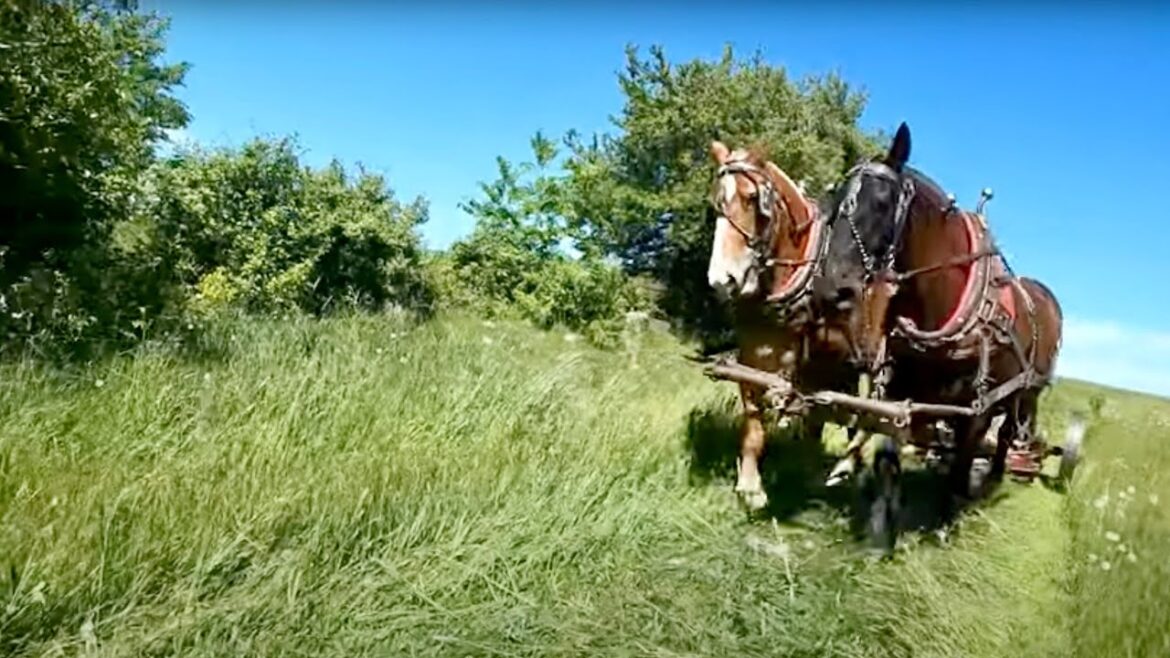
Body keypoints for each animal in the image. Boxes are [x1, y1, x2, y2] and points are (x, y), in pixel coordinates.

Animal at [704, 140, 860, 512]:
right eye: (716, 201)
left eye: (751, 198)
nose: (721, 280)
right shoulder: (750, 356)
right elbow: (753, 421)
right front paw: (750, 485)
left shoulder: (807, 364)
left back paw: (846, 464)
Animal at [809, 123, 1064, 554]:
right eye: (837, 200)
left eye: (881, 202)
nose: (831, 289)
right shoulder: (897, 392)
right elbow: (887, 459)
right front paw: (881, 531)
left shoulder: (977, 409)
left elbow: (961, 463)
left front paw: (945, 521)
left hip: (1026, 391)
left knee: (1007, 435)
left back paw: (992, 480)